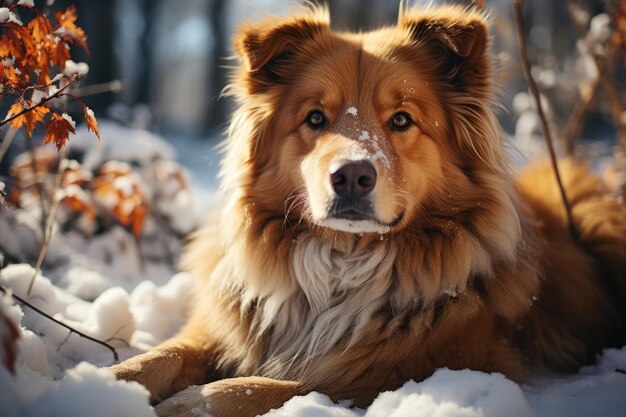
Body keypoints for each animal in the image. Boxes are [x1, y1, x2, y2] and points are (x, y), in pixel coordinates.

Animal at [108, 4, 624, 416]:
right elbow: (159, 357)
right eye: (315, 118)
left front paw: (187, 404)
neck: (342, 260)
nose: (352, 176)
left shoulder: (431, 364)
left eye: (402, 120)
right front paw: (105, 385)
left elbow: (272, 387)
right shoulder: (218, 329)